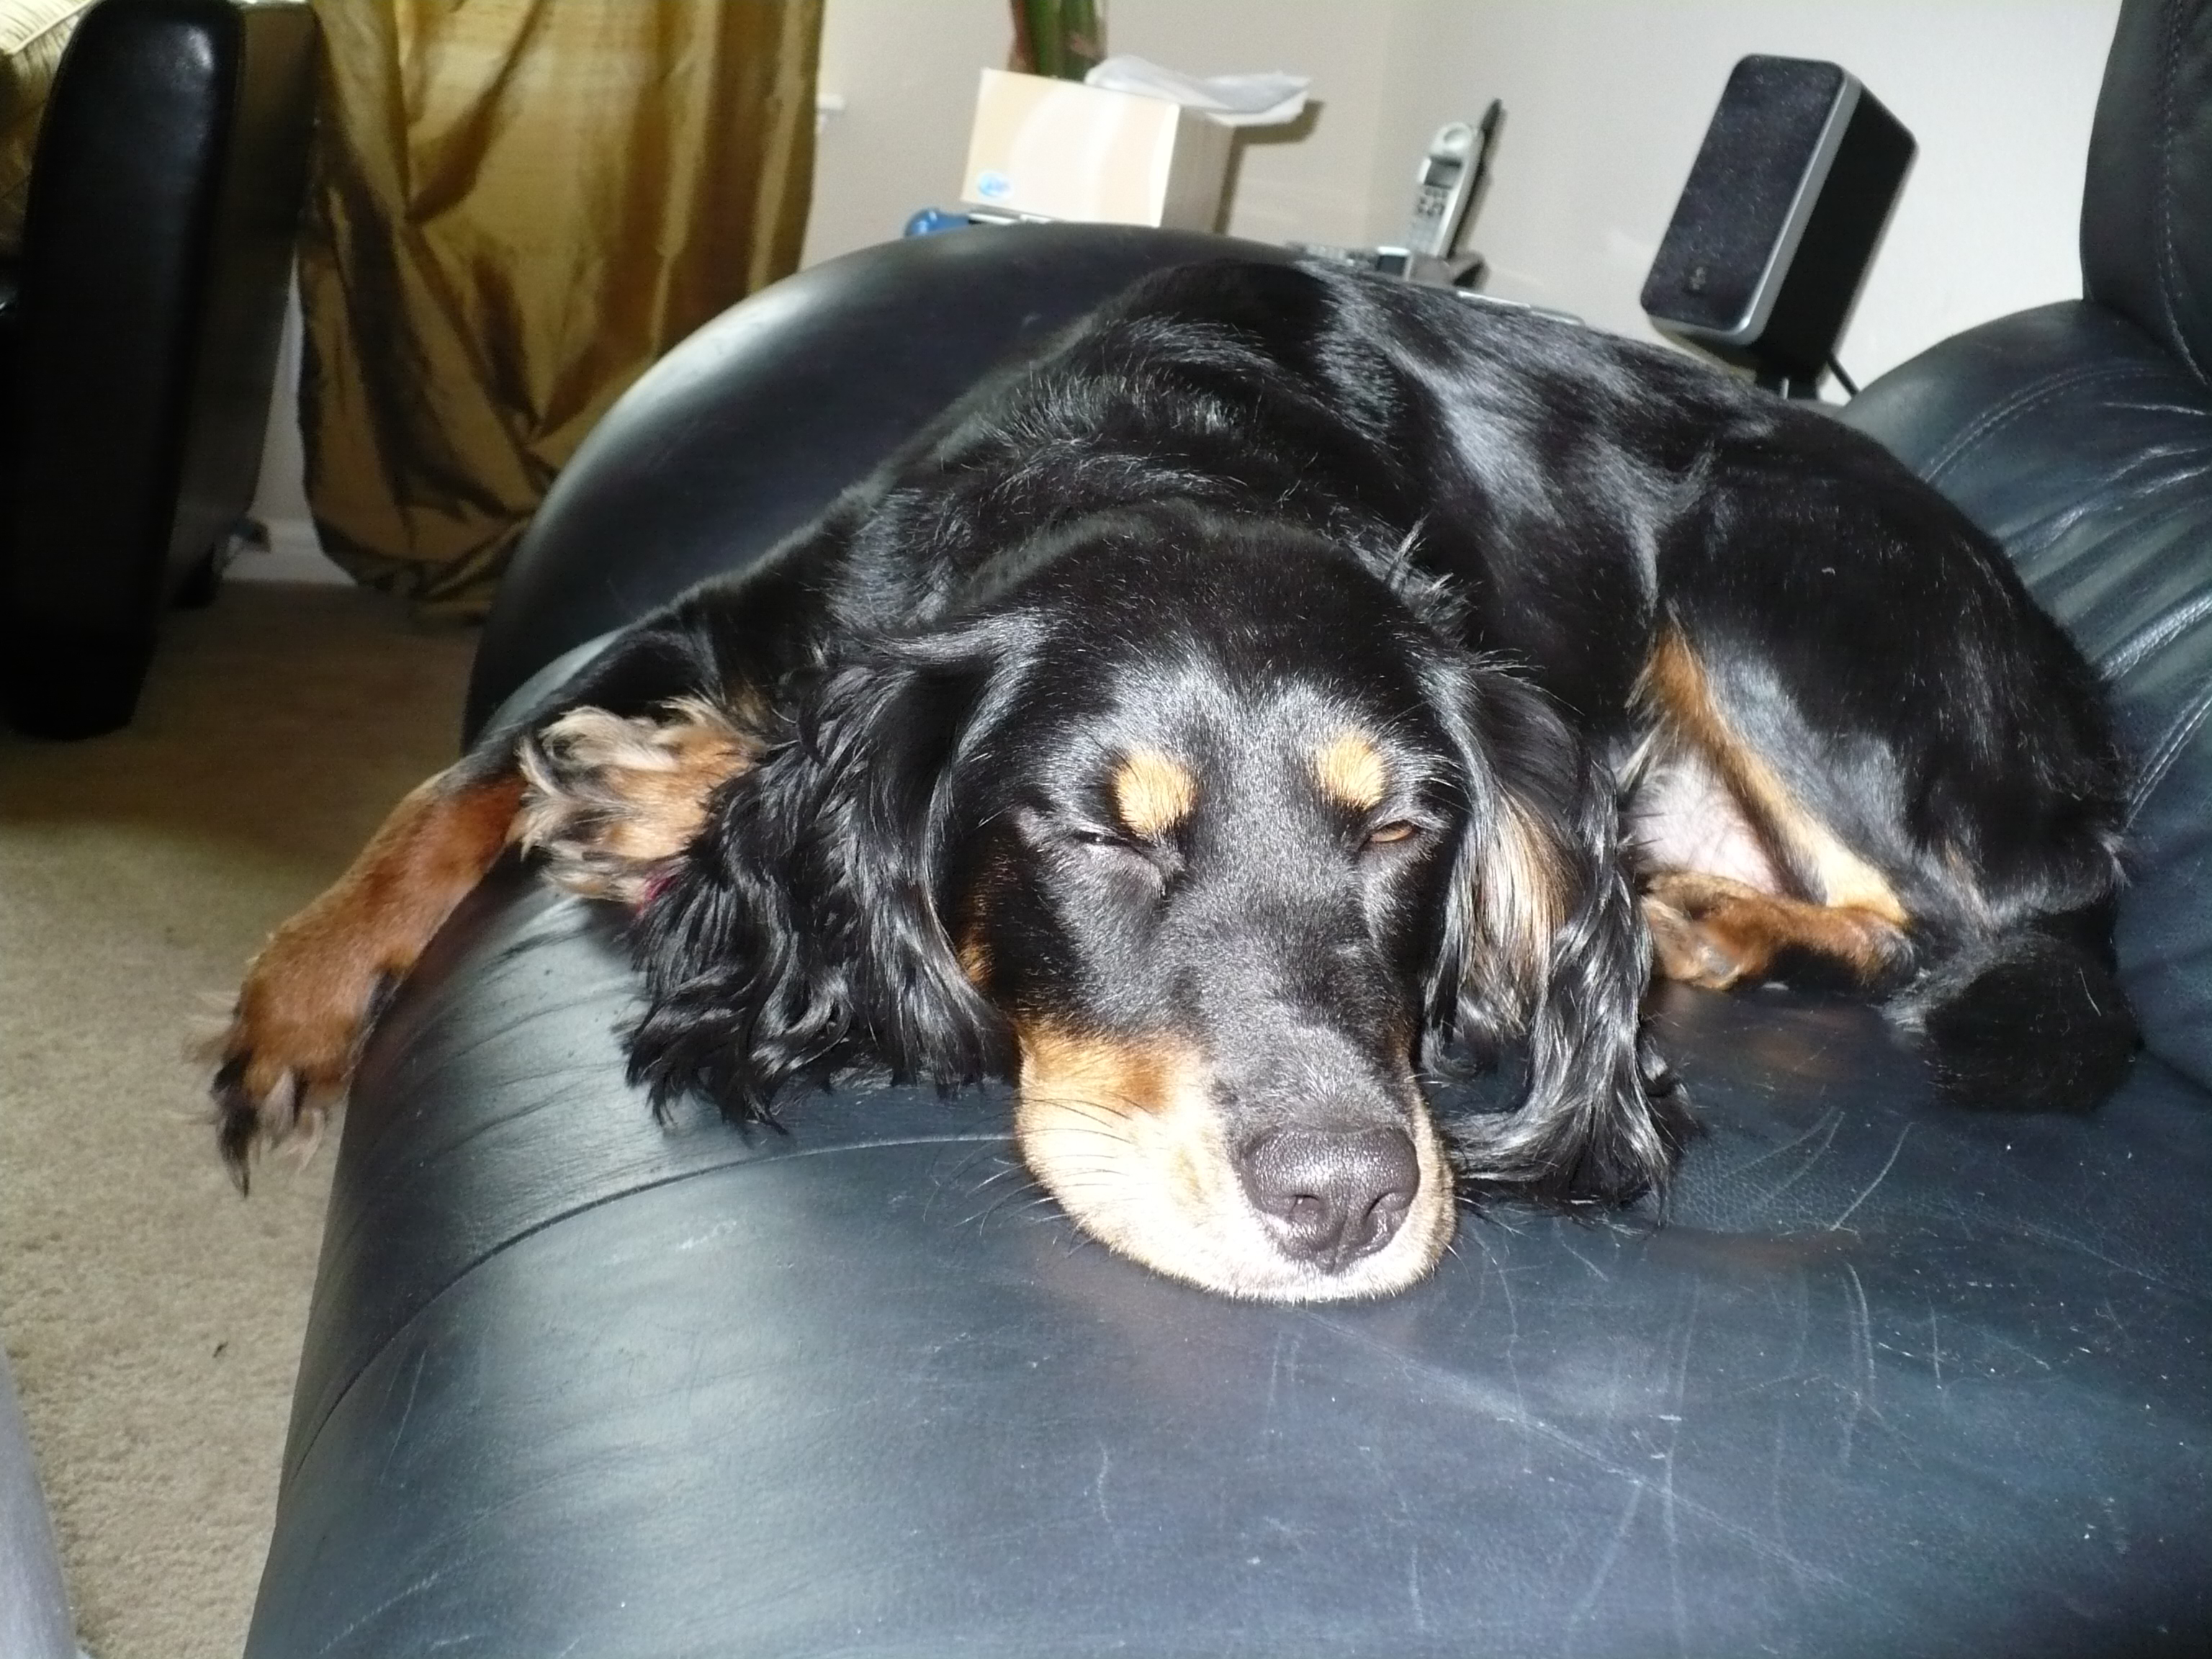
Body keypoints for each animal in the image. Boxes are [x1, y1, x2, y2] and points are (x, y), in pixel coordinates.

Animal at [215, 259, 2132, 1309]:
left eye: (1404, 826)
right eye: (1092, 835)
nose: (1345, 1201)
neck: (1152, 449)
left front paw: (661, 798)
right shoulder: (743, 606)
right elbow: (450, 781)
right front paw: (302, 993)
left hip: (1762, 554)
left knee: (1942, 923)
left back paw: (1701, 920)